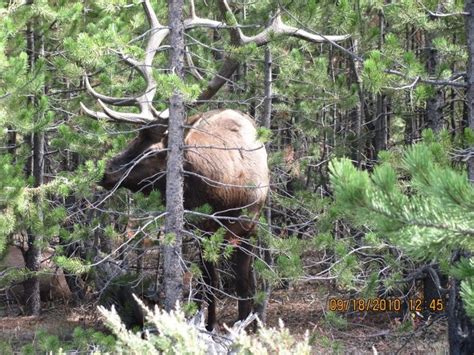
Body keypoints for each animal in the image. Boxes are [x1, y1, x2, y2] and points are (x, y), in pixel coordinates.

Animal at [79, 0, 348, 330]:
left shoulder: (247, 225)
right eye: (133, 138)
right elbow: (208, 282)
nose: (107, 171)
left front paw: (247, 325)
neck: (226, 191)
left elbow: (244, 282)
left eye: (151, 151)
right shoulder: (201, 227)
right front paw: (207, 326)